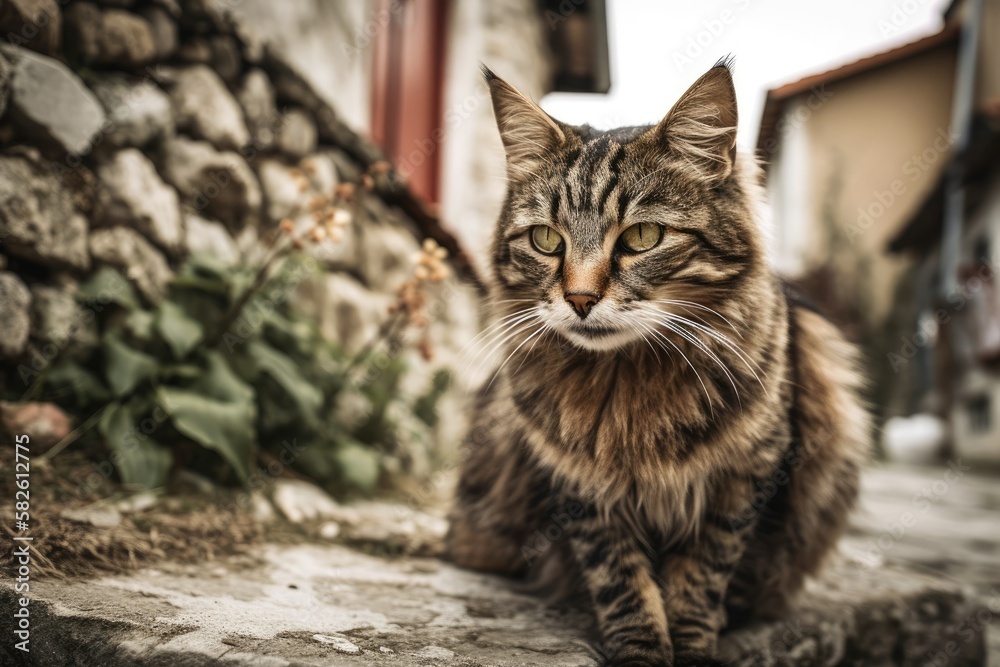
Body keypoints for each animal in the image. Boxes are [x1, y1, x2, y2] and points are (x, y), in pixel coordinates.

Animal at [450, 58, 872, 667]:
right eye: (547, 240)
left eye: (643, 237)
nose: (579, 299)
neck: (626, 384)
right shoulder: (582, 492)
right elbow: (622, 584)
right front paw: (643, 649)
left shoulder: (744, 481)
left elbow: (702, 579)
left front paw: (694, 646)